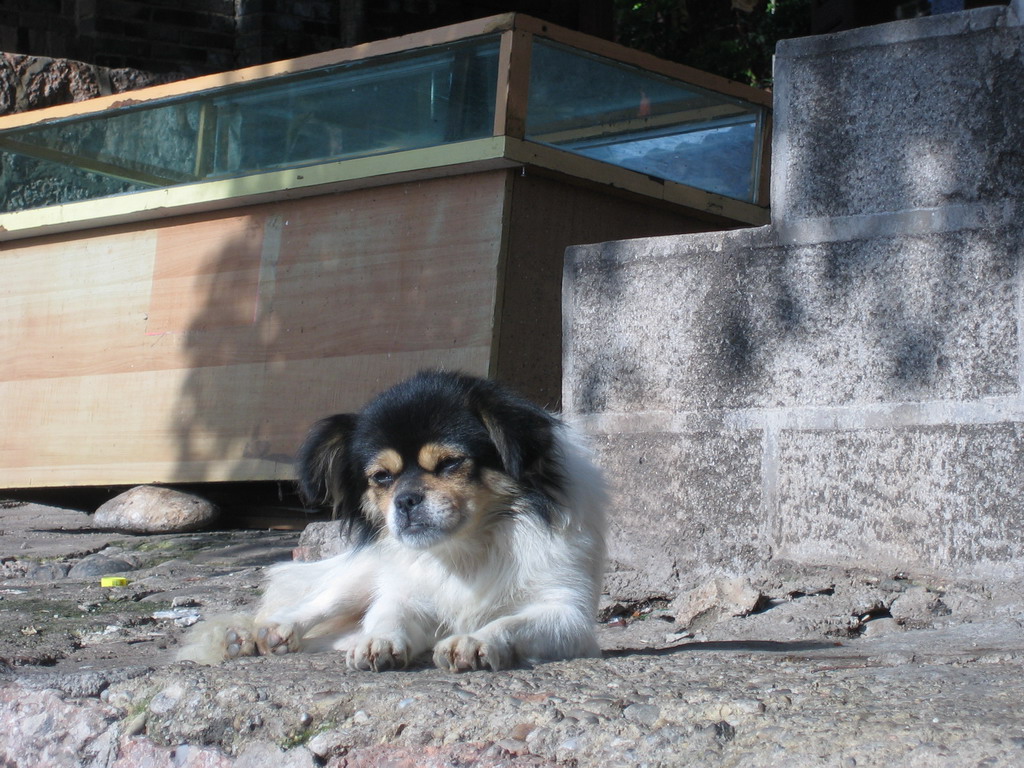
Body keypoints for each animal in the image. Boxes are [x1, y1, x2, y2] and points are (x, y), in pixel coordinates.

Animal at [178, 370, 607, 671]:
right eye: (382, 477)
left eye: (449, 464)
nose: (405, 500)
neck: (464, 550)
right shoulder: (404, 594)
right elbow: (387, 615)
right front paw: (379, 642)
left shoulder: (567, 615)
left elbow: (509, 623)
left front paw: (473, 641)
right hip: (360, 576)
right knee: (319, 605)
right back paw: (261, 634)